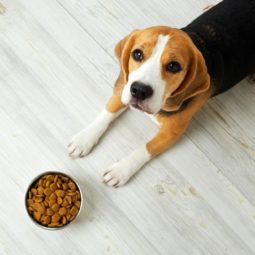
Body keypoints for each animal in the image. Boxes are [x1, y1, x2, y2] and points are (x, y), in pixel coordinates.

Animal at [67, 0, 255, 187]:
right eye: (137, 54)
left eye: (173, 66)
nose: (140, 90)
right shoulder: (124, 88)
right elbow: (108, 112)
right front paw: (84, 138)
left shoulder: (173, 132)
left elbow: (145, 148)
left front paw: (121, 169)